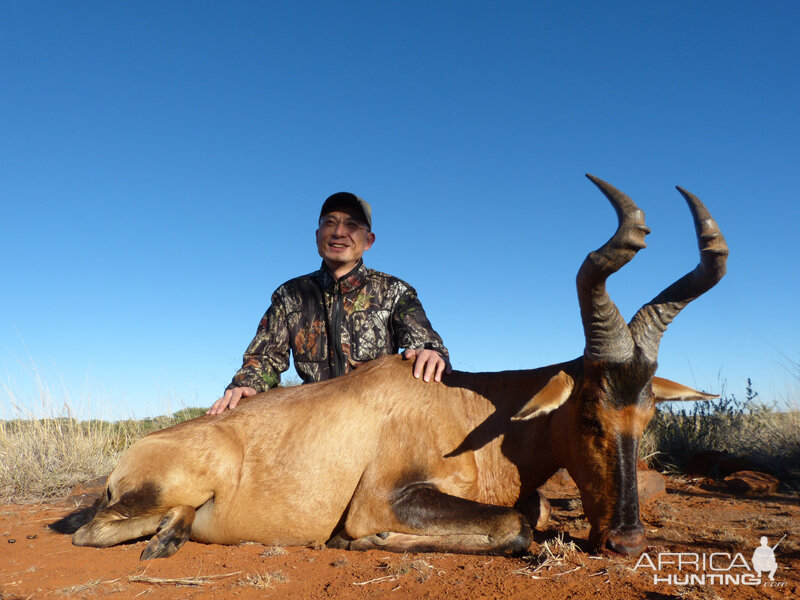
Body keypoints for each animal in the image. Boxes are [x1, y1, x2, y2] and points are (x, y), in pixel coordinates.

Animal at [56, 176, 728, 560]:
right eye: (588, 413)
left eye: (648, 414)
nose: (628, 542)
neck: (467, 408)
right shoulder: (386, 495)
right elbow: (517, 526)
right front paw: (370, 540)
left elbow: (532, 512)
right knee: (91, 530)